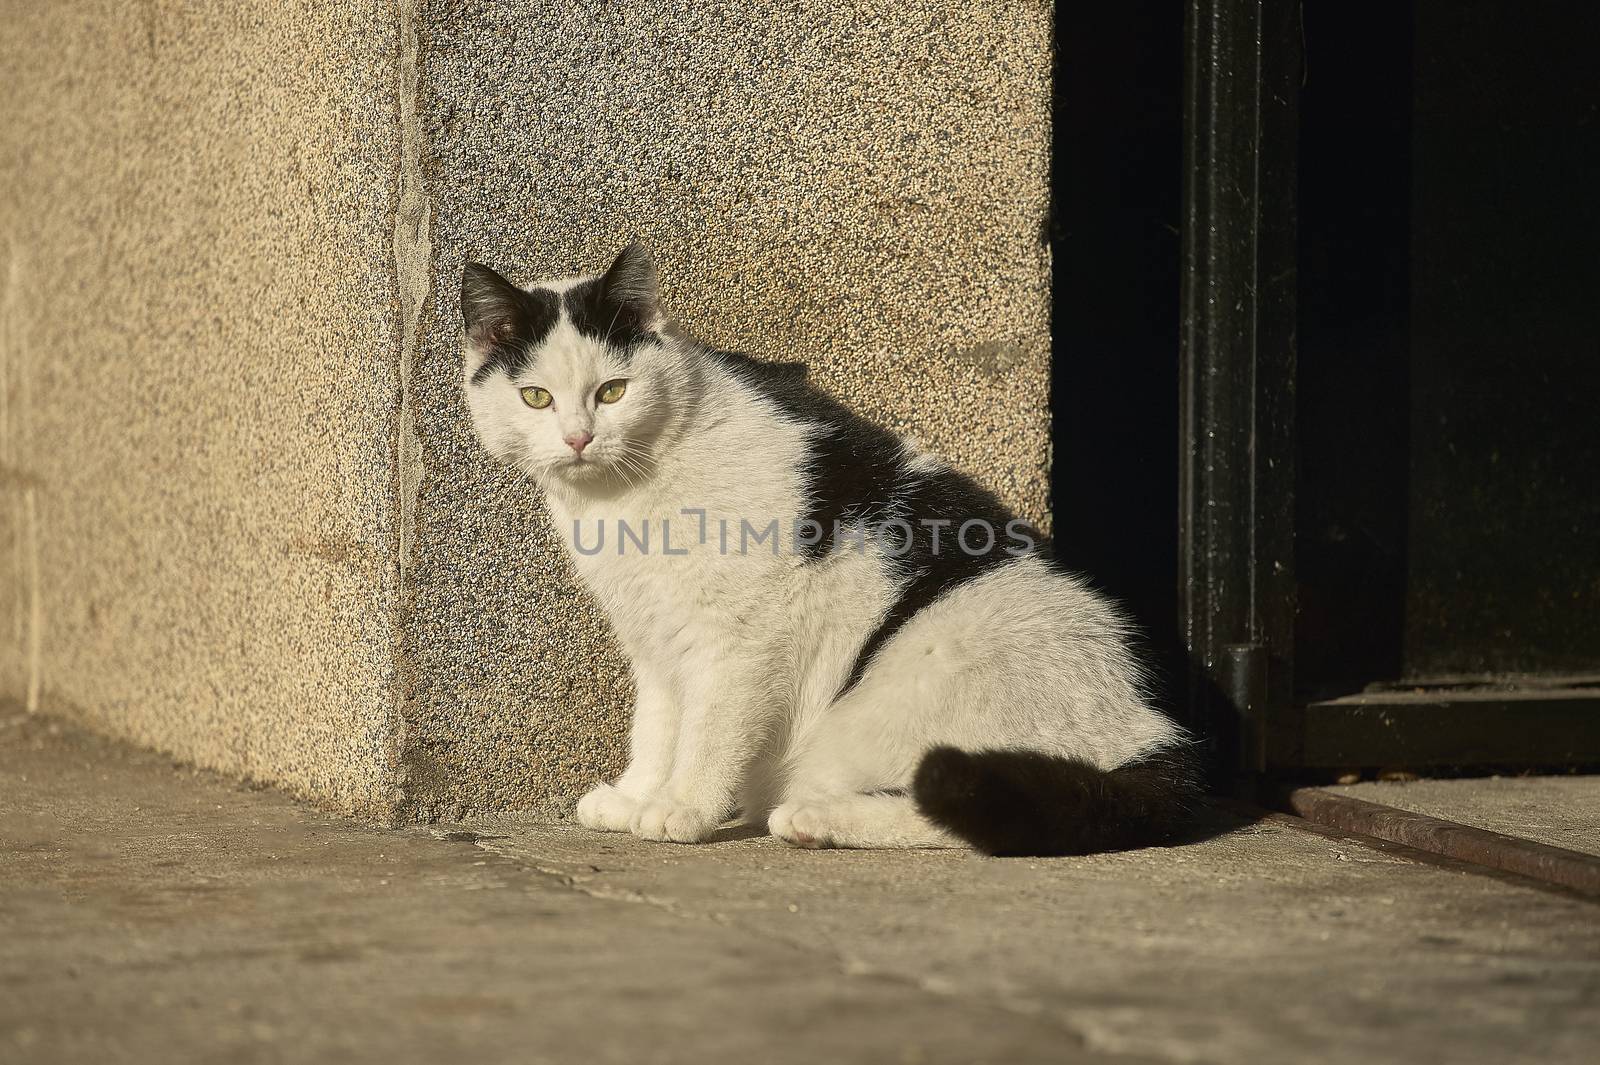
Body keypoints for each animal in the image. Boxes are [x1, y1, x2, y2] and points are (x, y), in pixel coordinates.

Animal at [457, 243, 1196, 857]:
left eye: (612, 391)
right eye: (535, 397)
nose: (579, 438)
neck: (616, 498)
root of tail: (1150, 731)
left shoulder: (739, 638)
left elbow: (708, 729)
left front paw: (681, 808)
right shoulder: (655, 637)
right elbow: (658, 723)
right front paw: (638, 793)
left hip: (919, 679)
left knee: (955, 808)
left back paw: (815, 818)